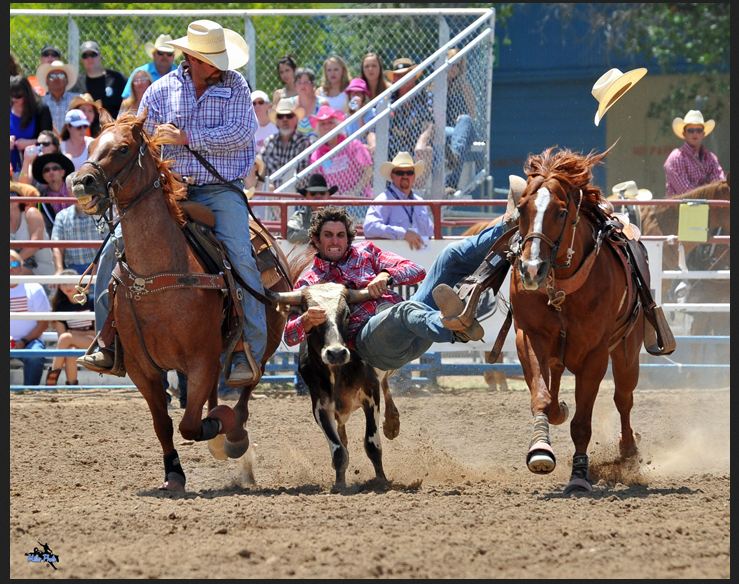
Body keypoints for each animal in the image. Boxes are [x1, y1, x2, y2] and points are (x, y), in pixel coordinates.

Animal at [68, 114, 300, 492]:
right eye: (92, 145)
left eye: (123, 148)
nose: (80, 183)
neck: (159, 274)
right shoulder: (143, 369)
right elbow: (164, 424)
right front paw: (174, 473)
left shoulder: (200, 360)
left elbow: (190, 424)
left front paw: (220, 430)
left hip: (262, 347)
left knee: (246, 392)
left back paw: (234, 436)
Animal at [508, 148, 648, 496]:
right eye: (522, 208)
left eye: (560, 213)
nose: (531, 269)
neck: (563, 290)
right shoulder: (527, 336)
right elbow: (542, 398)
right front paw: (540, 449)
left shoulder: (595, 356)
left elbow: (582, 424)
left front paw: (580, 475)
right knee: (556, 385)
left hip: (627, 352)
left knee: (623, 399)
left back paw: (628, 453)